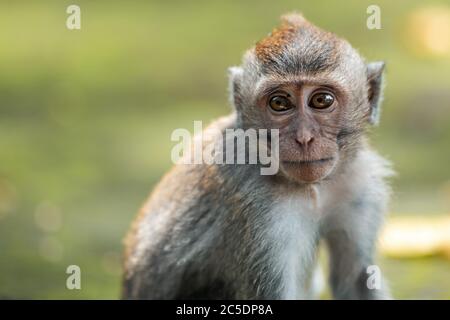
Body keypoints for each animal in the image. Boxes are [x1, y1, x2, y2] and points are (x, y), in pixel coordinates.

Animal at [123, 13, 394, 300]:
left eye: (322, 100)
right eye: (279, 103)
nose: (304, 138)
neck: (311, 189)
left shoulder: (360, 184)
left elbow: (357, 278)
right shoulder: (257, 208)